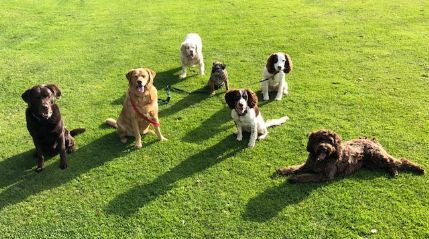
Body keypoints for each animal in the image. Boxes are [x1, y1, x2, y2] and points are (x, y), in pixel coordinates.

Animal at [276, 129, 422, 183]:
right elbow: (295, 167)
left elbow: (307, 176)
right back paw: (393, 171)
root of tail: (370, 139)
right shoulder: (307, 165)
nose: (324, 147)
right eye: (319, 139)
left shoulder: (325, 175)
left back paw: (417, 168)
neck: (321, 159)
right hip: (374, 162)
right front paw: (283, 170)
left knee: (400, 161)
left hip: (377, 155)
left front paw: (295, 178)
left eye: (330, 141)